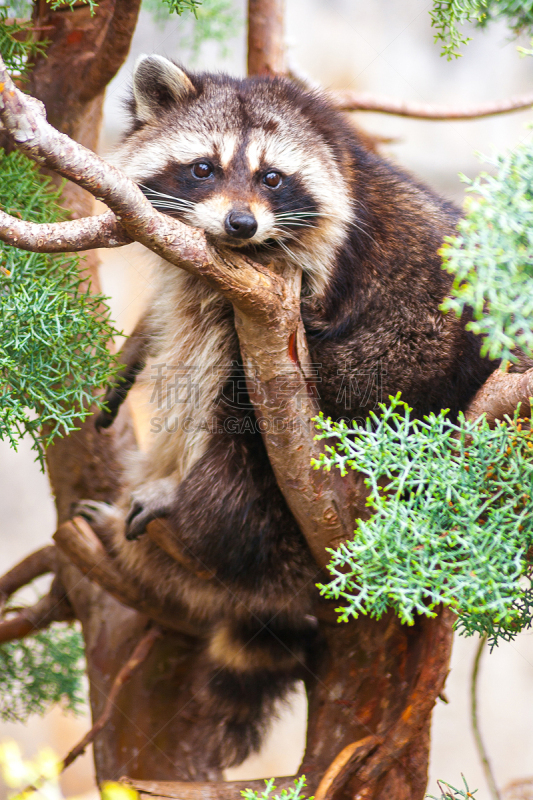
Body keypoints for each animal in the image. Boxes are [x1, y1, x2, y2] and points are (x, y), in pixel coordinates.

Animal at [77, 54, 496, 768]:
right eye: (204, 168)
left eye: (272, 178)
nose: (240, 225)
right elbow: (171, 312)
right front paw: (135, 344)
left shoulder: (333, 277)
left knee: (244, 427)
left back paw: (196, 522)